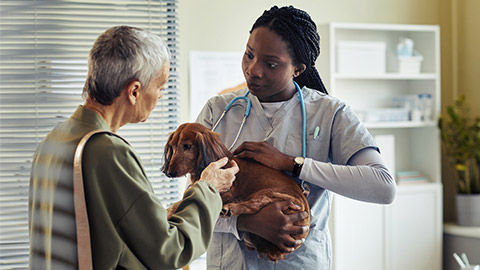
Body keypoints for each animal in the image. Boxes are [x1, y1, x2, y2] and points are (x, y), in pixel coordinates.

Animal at [162, 123, 312, 262]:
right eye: (172, 146)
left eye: (187, 146)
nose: (169, 173)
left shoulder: (226, 191)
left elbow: (181, 201)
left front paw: (169, 211)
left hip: (271, 193)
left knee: (252, 205)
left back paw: (229, 209)